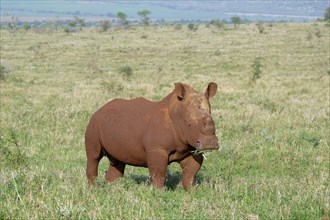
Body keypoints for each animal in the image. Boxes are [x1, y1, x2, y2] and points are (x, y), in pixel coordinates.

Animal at [84, 81, 219, 190]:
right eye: (189, 124)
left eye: (214, 122)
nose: (209, 144)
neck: (177, 112)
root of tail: (99, 109)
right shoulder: (157, 149)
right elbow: (158, 172)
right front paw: (159, 192)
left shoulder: (190, 148)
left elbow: (191, 172)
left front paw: (191, 191)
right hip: (94, 124)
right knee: (94, 156)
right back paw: (93, 189)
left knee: (117, 161)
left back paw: (114, 188)